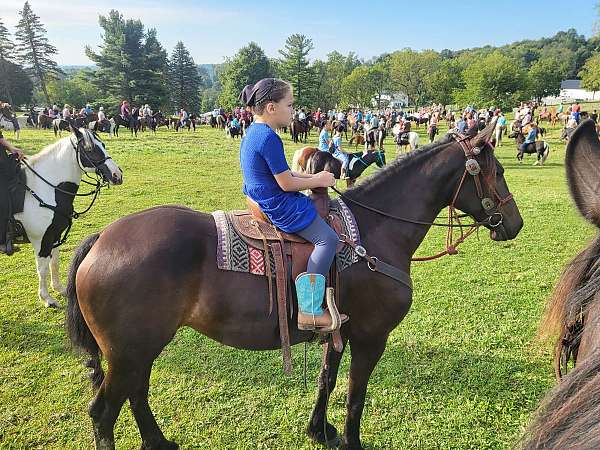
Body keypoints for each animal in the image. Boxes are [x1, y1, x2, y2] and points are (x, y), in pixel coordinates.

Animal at [13, 128, 122, 308]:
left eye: (103, 145)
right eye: (90, 150)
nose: (117, 175)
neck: (46, 189)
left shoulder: (55, 236)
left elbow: (54, 262)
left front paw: (59, 288)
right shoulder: (41, 240)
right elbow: (42, 269)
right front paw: (47, 298)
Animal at [68, 119, 524, 450]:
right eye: (498, 172)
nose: (515, 224)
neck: (375, 232)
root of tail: (101, 238)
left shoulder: (340, 330)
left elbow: (327, 381)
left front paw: (319, 431)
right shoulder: (371, 337)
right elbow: (355, 395)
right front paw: (351, 441)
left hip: (138, 349)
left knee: (137, 394)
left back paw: (158, 443)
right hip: (128, 351)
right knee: (103, 412)